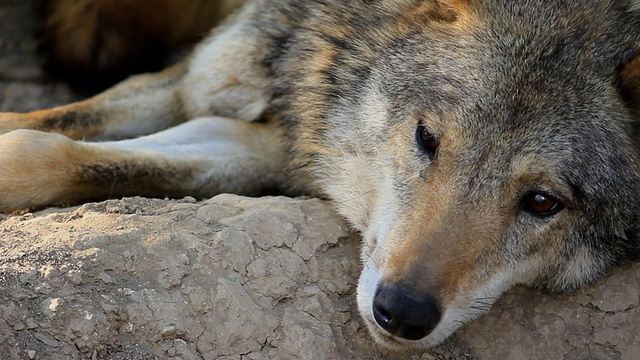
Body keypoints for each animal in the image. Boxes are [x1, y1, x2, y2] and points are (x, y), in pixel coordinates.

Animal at [1, 0, 640, 350]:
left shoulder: (277, 146)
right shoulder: (213, 80)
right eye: (427, 139)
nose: (402, 313)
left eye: (542, 202)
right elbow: (50, 130)